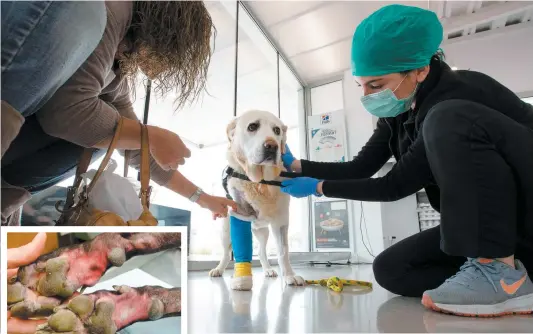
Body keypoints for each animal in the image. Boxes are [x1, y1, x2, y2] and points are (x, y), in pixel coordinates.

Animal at [210, 109, 306, 290]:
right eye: (252, 126)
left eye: (277, 130)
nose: (272, 146)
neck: (259, 182)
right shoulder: (239, 214)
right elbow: (241, 249)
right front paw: (242, 279)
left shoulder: (281, 222)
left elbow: (283, 252)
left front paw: (290, 276)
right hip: (225, 231)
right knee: (226, 253)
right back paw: (219, 269)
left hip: (263, 231)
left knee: (261, 253)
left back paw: (268, 270)